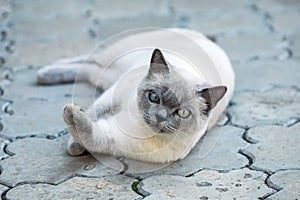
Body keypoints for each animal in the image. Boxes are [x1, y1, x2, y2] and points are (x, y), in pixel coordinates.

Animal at [37, 27, 234, 162]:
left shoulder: (113, 139)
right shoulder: (111, 96)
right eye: (153, 97)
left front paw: (76, 144)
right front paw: (74, 142)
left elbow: (89, 133)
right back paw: (46, 71)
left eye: (182, 113)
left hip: (104, 76)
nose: (159, 117)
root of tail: (207, 39)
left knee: (88, 69)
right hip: (113, 57)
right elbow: (93, 112)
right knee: (88, 58)